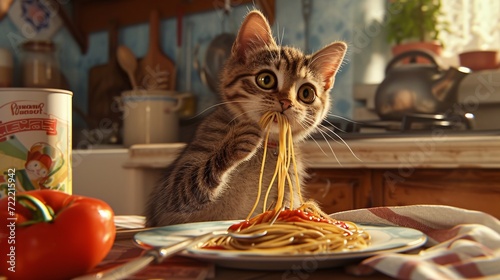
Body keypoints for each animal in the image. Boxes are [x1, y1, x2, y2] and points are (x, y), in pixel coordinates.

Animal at [146, 9, 346, 226]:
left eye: (306, 93)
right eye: (266, 79)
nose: (286, 102)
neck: (266, 147)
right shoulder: (173, 192)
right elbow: (193, 182)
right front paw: (237, 140)